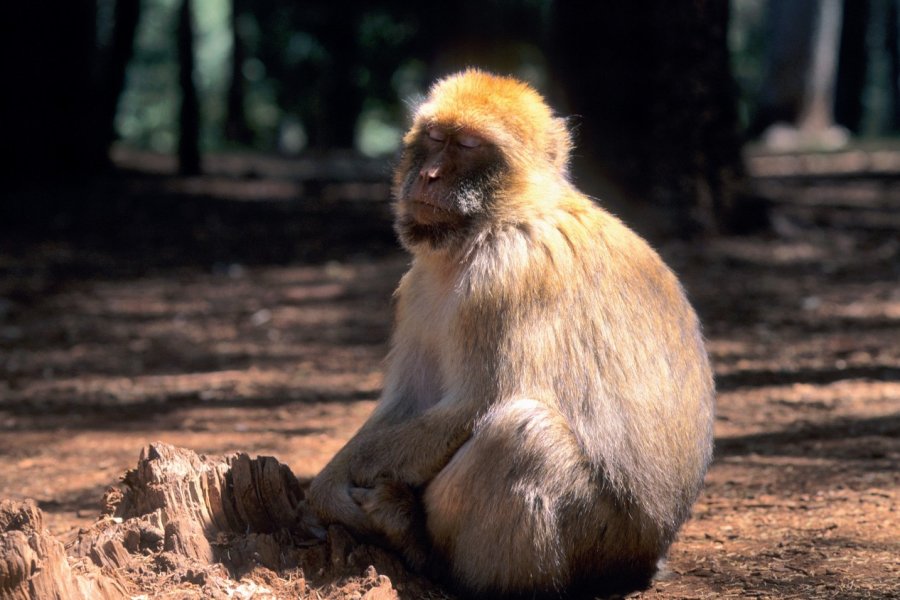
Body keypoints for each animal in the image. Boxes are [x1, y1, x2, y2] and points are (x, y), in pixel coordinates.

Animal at [306, 69, 712, 596]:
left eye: (468, 144)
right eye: (434, 137)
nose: (429, 175)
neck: (495, 224)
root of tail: (653, 553)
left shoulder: (504, 274)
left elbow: (476, 404)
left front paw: (325, 491)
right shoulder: (418, 289)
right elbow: (411, 402)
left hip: (607, 540)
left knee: (522, 434)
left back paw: (425, 550)